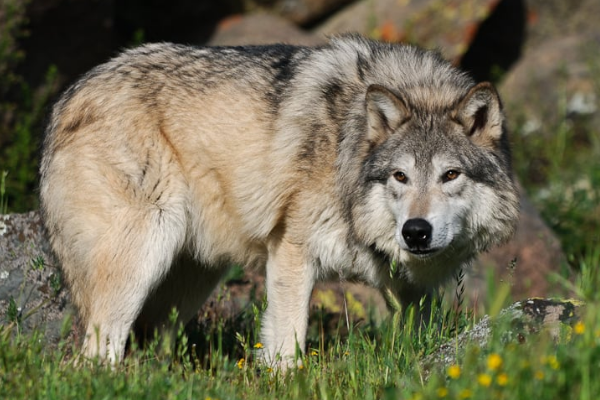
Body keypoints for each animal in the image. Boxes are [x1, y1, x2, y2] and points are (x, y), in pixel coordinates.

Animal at [39, 36, 516, 368]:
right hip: (143, 254)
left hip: (188, 281)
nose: (415, 232)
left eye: (450, 175)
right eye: (400, 176)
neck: (346, 149)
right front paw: (284, 379)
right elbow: (287, 341)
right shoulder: (291, 248)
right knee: (95, 354)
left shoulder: (412, 290)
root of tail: (64, 100)